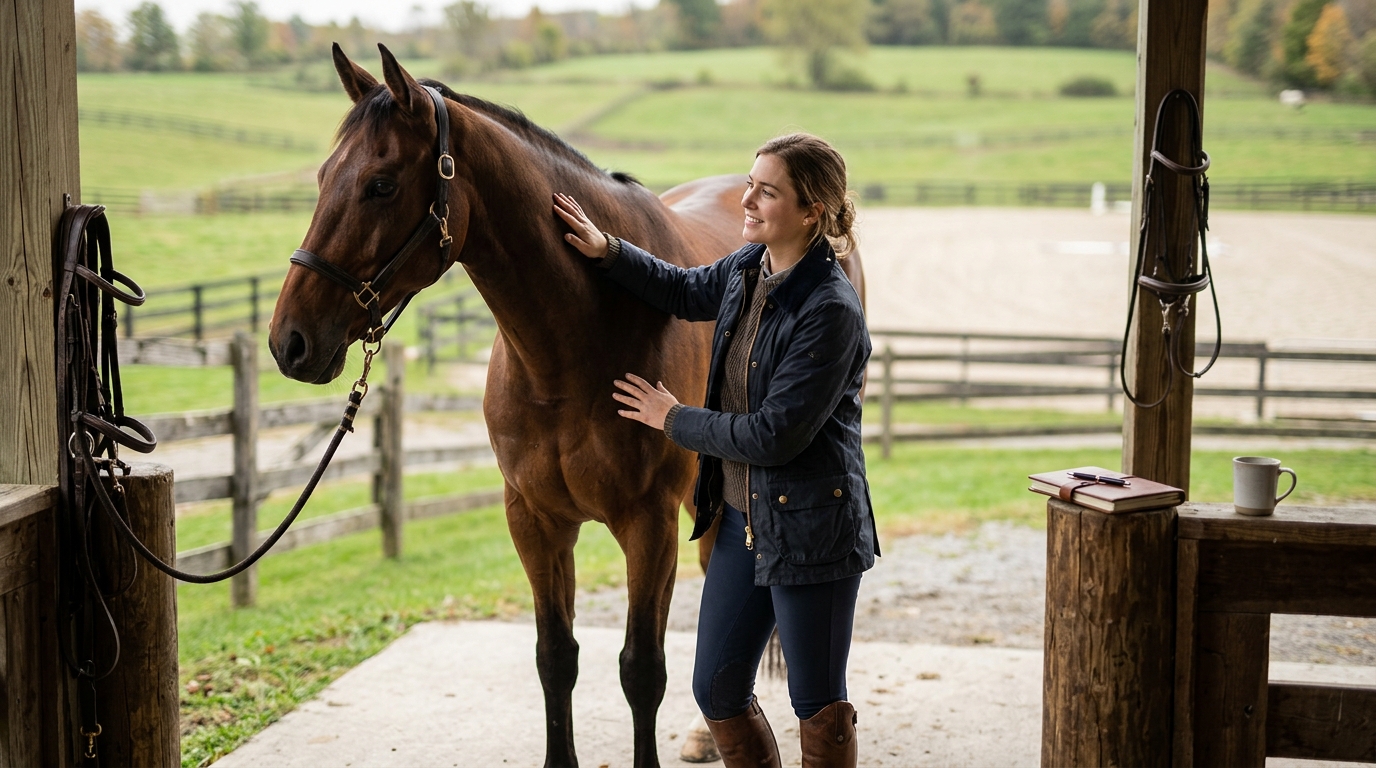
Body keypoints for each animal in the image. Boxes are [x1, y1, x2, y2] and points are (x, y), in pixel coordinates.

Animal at [269, 44, 864, 767]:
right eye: (324, 175)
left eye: (380, 184)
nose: (290, 341)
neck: (572, 345)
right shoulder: (535, 519)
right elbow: (556, 658)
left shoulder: (648, 524)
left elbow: (642, 669)